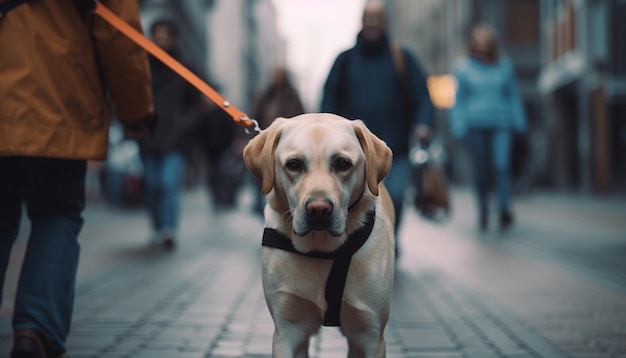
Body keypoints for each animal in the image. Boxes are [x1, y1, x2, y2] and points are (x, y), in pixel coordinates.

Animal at [241, 113, 392, 356]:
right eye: (294, 164)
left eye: (342, 163)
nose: (319, 210)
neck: (323, 251)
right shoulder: (288, 329)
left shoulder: (370, 333)